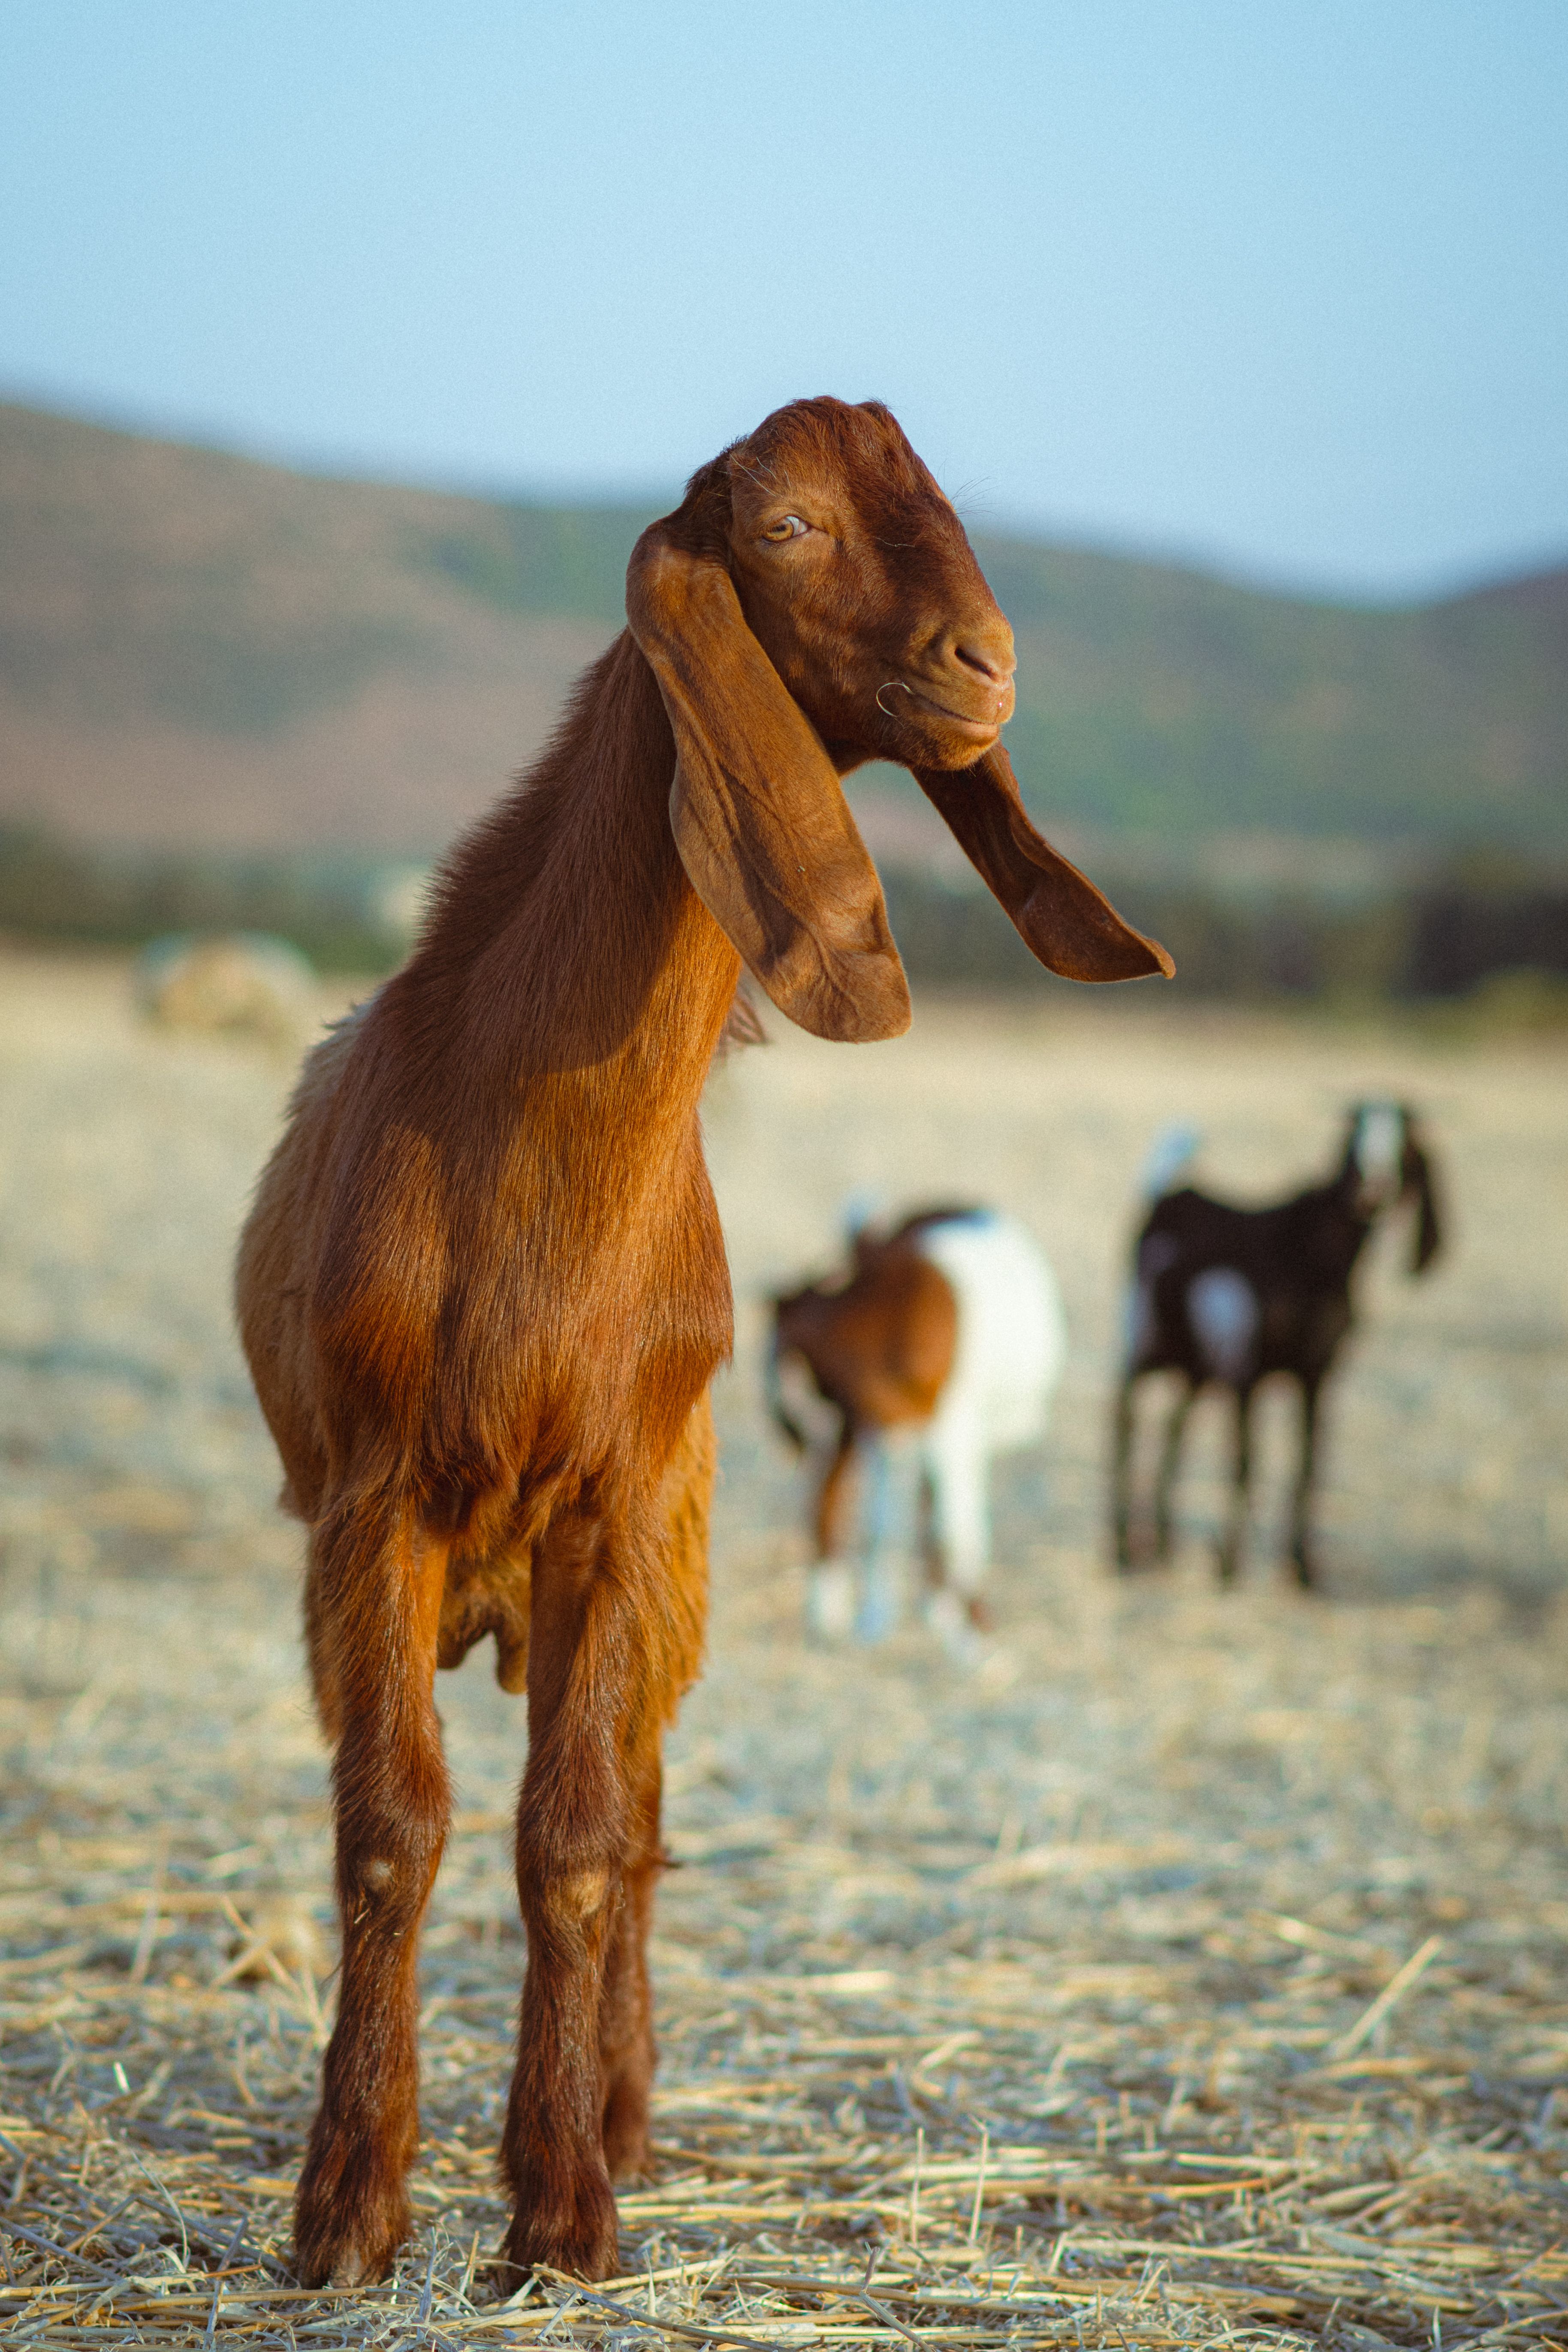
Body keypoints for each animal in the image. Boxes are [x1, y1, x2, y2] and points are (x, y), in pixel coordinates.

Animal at [770, 1206, 1066, 1651]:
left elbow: (957, 1528)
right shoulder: (877, 1428)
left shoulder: (950, 1430)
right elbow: (880, 1523)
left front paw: (970, 1634)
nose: (793, 1438)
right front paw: (871, 1622)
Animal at [1111, 1102, 1442, 1587]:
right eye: (1352, 1142)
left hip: (1194, 1365)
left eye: (1404, 1145)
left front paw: (1304, 1570)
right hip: (1144, 1339)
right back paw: (1119, 1548)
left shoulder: (1317, 1373)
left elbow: (1307, 1462)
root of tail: (1169, 1193)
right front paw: (1230, 1566)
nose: (1373, 1192)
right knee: (1125, 1418)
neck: (1310, 1254)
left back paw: (1160, 1548)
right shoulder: (1246, 1369)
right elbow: (1247, 1460)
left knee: (1174, 1425)